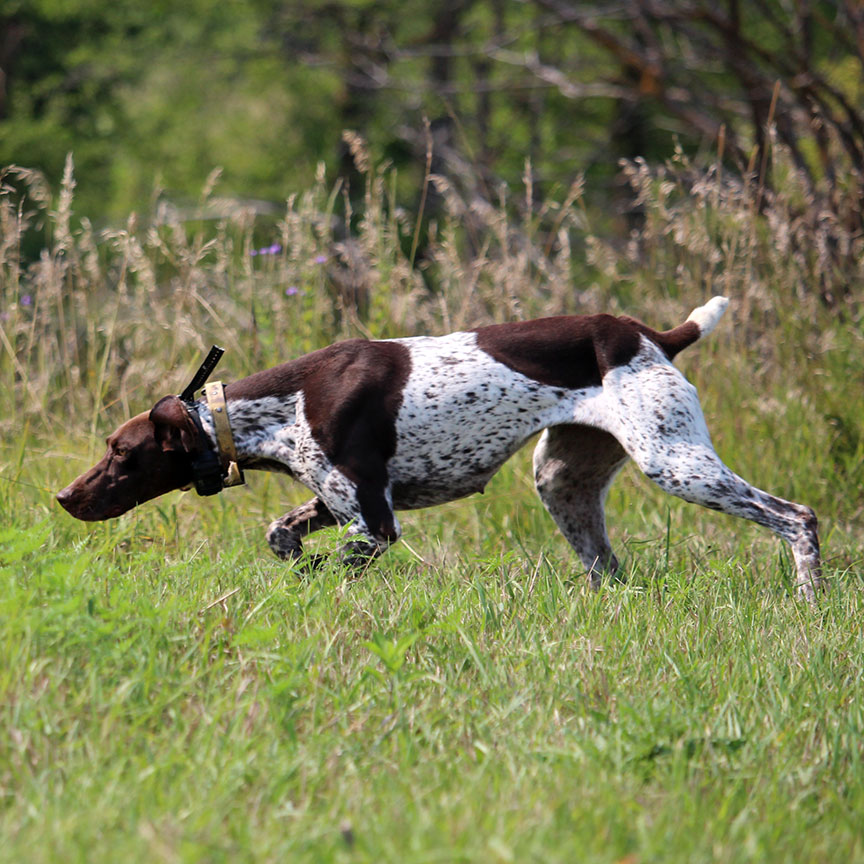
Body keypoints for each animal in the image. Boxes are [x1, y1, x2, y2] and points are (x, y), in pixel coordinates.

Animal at [55, 296, 824, 592]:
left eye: (119, 452)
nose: (63, 497)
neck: (283, 403)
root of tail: (651, 336)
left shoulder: (374, 523)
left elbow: (334, 567)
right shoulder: (342, 501)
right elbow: (283, 535)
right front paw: (296, 561)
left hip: (675, 463)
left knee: (796, 517)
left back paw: (809, 598)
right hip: (564, 482)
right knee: (609, 570)